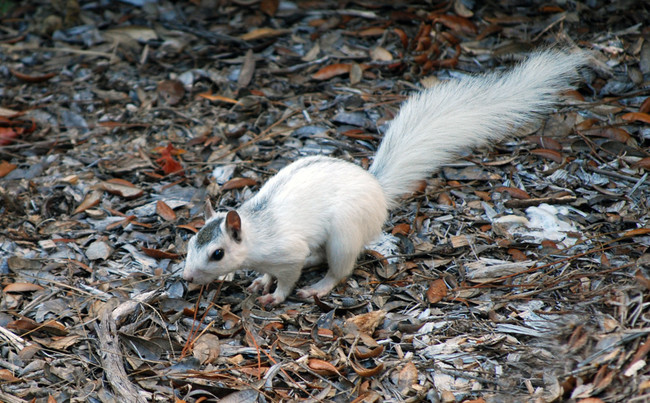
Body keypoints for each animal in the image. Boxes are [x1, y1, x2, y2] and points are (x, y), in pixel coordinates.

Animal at [180, 48, 584, 306]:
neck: (256, 232)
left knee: (338, 269)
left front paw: (275, 295)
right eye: (189, 245)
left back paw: (319, 288)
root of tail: (375, 188)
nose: (186, 278)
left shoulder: (287, 252)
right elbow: (269, 273)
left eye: (217, 254)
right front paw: (259, 282)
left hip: (344, 233)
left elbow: (288, 278)